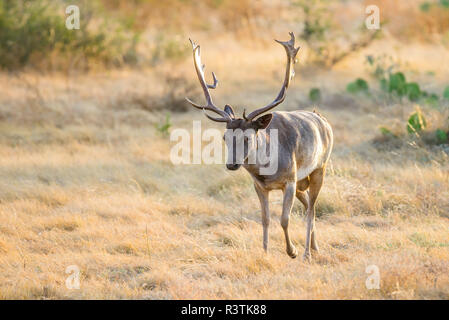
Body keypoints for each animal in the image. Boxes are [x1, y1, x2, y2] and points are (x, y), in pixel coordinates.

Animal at [185, 32, 332, 262]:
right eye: (225, 137)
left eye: (248, 137)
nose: (232, 164)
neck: (267, 171)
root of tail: (323, 120)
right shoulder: (259, 186)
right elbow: (265, 219)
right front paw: (264, 252)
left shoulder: (289, 180)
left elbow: (284, 219)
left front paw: (292, 251)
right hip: (302, 182)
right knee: (309, 204)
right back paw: (315, 247)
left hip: (319, 169)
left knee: (312, 209)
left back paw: (307, 253)